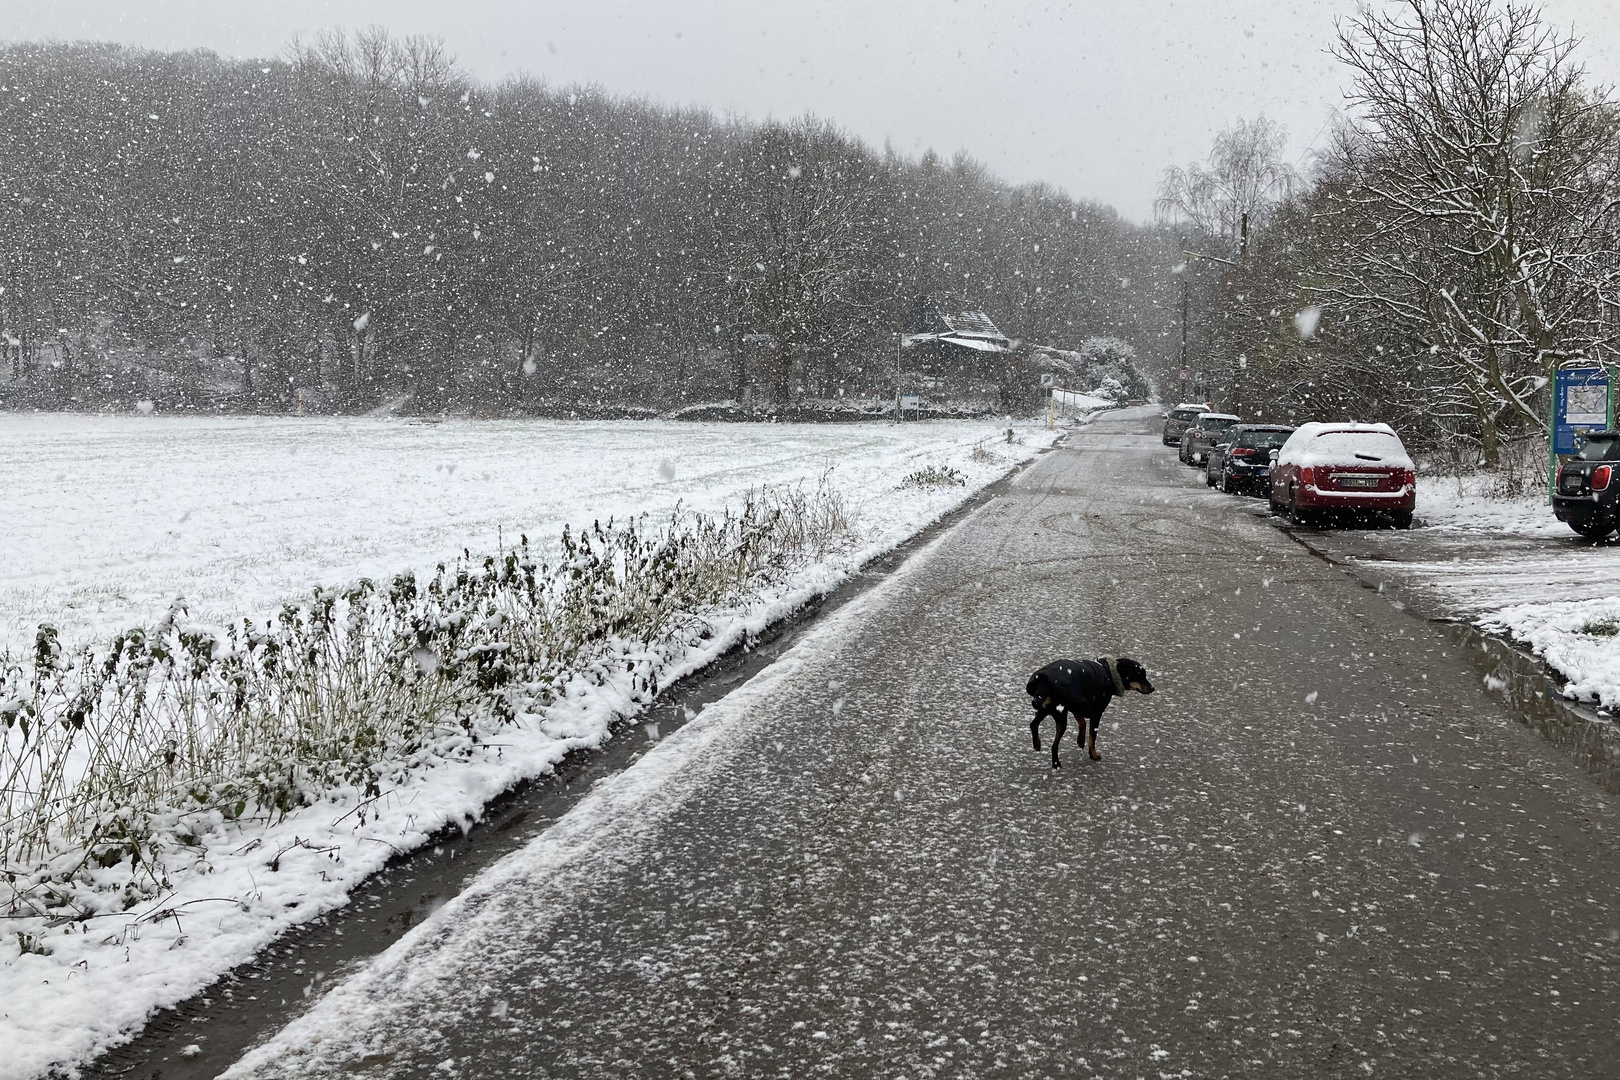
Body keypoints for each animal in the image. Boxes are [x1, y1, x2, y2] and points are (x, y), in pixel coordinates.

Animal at [1023, 660, 1153, 767]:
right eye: (1140, 676)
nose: (1153, 688)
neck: (1108, 672)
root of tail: (1044, 681)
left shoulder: (1077, 705)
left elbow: (1082, 722)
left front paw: (1080, 740)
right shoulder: (1096, 712)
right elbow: (1092, 738)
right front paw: (1094, 755)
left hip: (1044, 709)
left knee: (1033, 724)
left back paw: (1037, 744)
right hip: (1060, 714)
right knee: (1054, 745)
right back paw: (1056, 764)